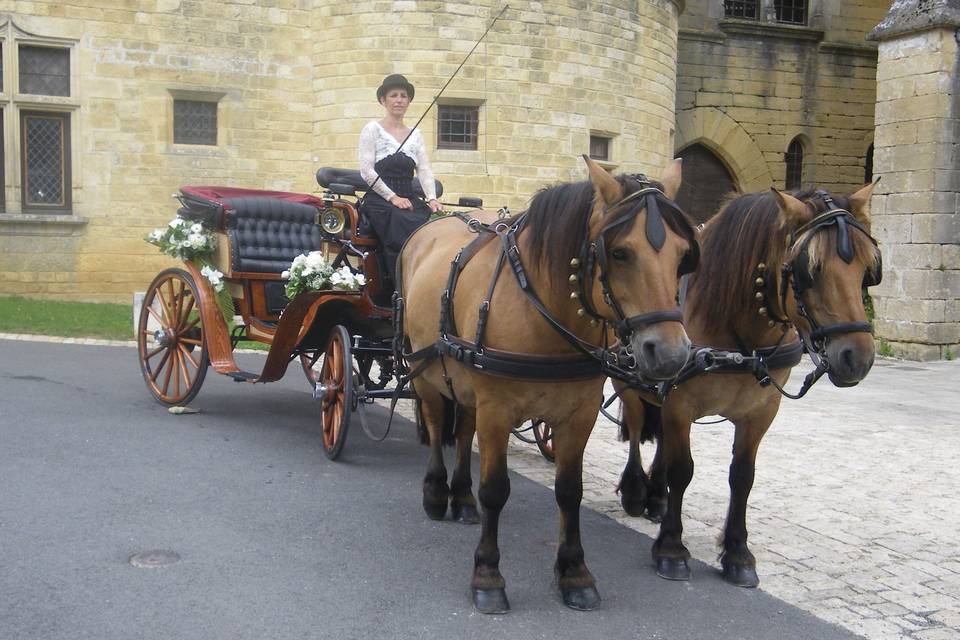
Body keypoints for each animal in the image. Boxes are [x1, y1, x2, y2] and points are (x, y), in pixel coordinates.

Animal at [396, 156, 696, 616]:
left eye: (683, 257)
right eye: (620, 252)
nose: (670, 354)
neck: (541, 308)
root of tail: (431, 225)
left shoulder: (578, 415)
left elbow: (570, 492)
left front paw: (574, 572)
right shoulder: (497, 410)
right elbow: (496, 490)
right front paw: (488, 575)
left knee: (462, 433)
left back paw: (461, 499)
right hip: (427, 371)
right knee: (433, 423)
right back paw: (435, 493)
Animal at [616, 182, 876, 588]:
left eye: (867, 269)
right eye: (808, 270)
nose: (858, 357)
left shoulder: (761, 411)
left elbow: (742, 476)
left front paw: (737, 553)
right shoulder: (680, 405)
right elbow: (682, 470)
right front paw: (672, 549)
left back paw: (656, 498)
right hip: (629, 381)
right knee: (638, 424)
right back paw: (634, 491)